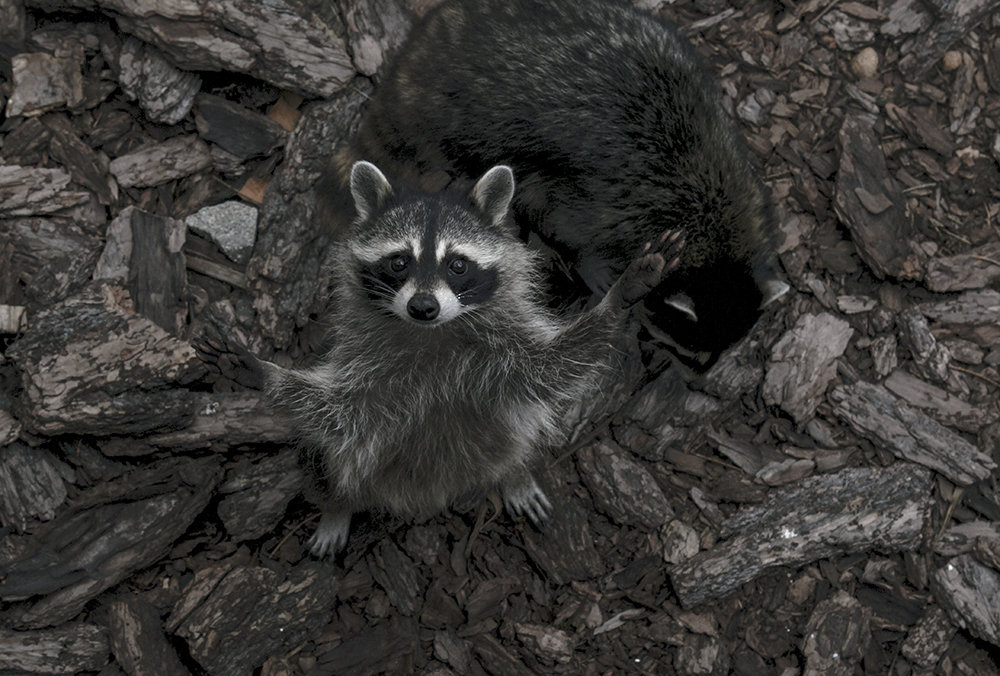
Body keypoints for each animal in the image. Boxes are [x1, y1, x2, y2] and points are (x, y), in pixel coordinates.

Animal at [262, 161, 684, 556]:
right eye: (399, 262)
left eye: (457, 264)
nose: (423, 307)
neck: (433, 333)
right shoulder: (363, 362)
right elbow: (341, 412)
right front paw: (266, 375)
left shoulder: (504, 350)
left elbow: (552, 367)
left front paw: (622, 295)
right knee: (331, 456)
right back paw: (340, 503)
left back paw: (513, 472)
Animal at [336, 0, 788, 362]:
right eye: (678, 348)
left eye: (714, 355)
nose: (693, 379)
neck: (714, 238)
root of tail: (423, 53)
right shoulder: (602, 201)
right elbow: (562, 224)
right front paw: (594, 269)